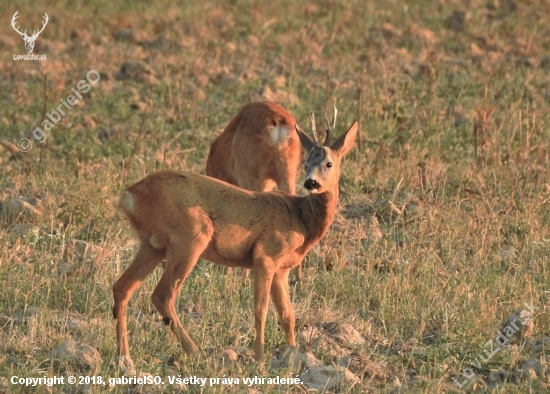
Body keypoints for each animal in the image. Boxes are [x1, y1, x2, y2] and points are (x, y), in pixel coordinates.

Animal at [114, 109, 360, 368]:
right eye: (306, 164)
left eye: (328, 163)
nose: (311, 182)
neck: (301, 220)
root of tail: (130, 195)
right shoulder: (265, 254)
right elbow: (261, 310)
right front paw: (259, 359)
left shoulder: (281, 269)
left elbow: (288, 315)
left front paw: (293, 355)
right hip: (191, 235)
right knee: (162, 295)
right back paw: (195, 350)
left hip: (153, 245)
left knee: (122, 288)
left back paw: (125, 358)